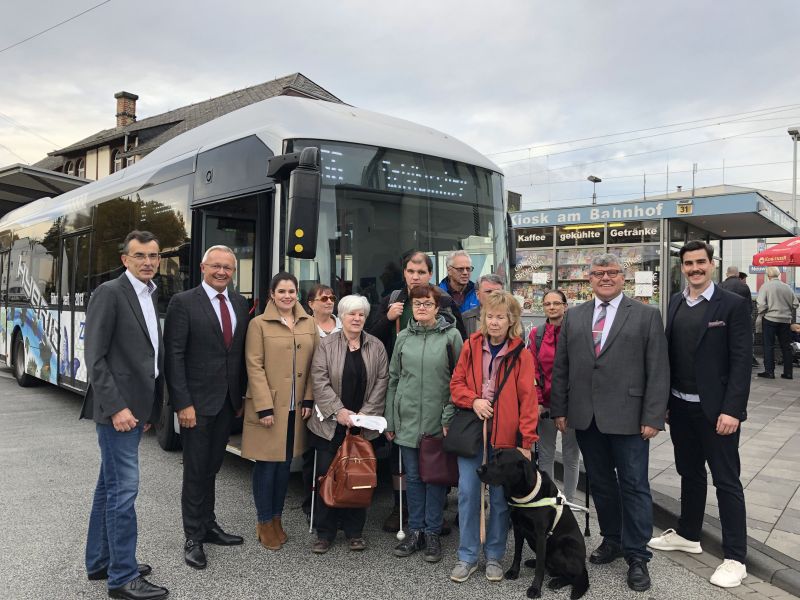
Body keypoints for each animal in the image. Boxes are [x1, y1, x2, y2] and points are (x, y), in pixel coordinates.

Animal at [476, 450, 588, 600]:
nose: (477, 470)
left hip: (563, 547)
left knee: (573, 575)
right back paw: (533, 563)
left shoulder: (540, 535)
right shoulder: (518, 529)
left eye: (500, 462)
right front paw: (514, 571)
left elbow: (540, 568)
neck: (525, 495)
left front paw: (535, 588)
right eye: (492, 457)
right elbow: (517, 554)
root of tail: (583, 565)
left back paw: (557, 582)